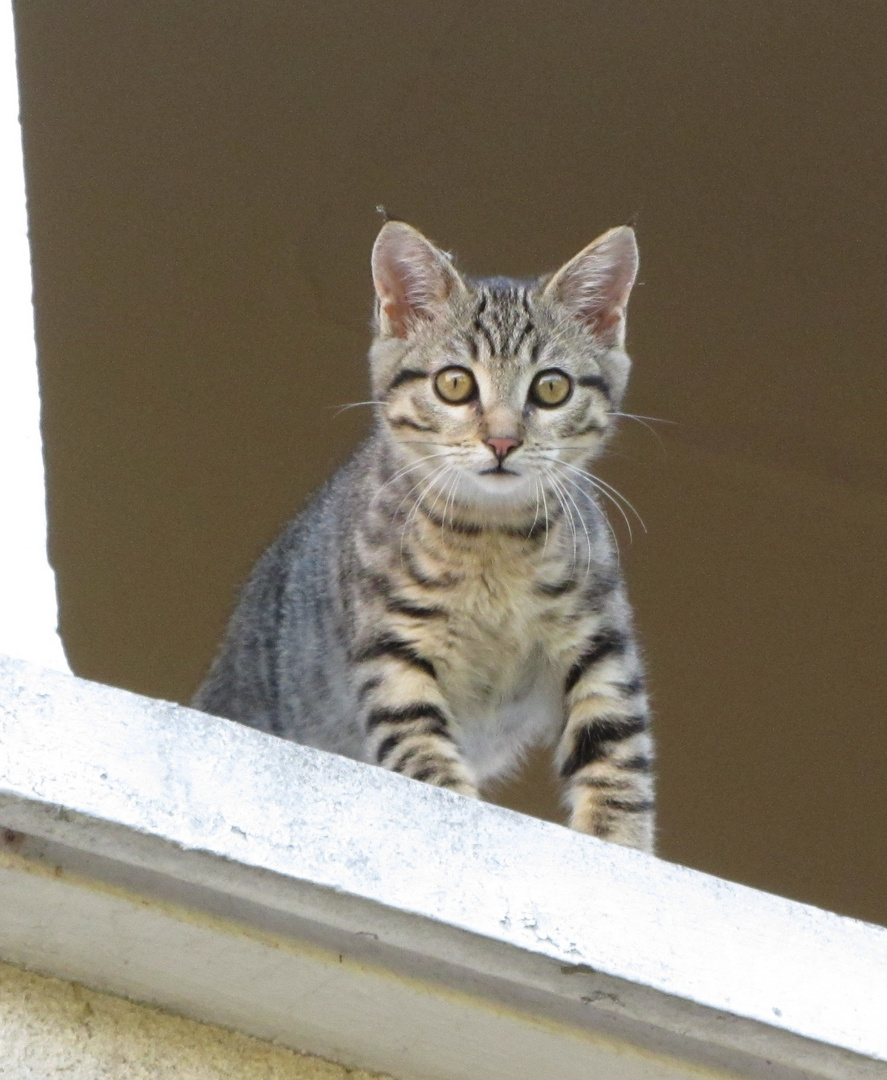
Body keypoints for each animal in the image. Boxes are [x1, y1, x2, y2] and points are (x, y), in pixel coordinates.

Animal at [193, 221, 652, 851]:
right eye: (454, 383)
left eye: (551, 389)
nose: (503, 441)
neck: (493, 539)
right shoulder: (393, 644)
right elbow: (423, 753)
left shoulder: (598, 637)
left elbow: (615, 745)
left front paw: (620, 842)